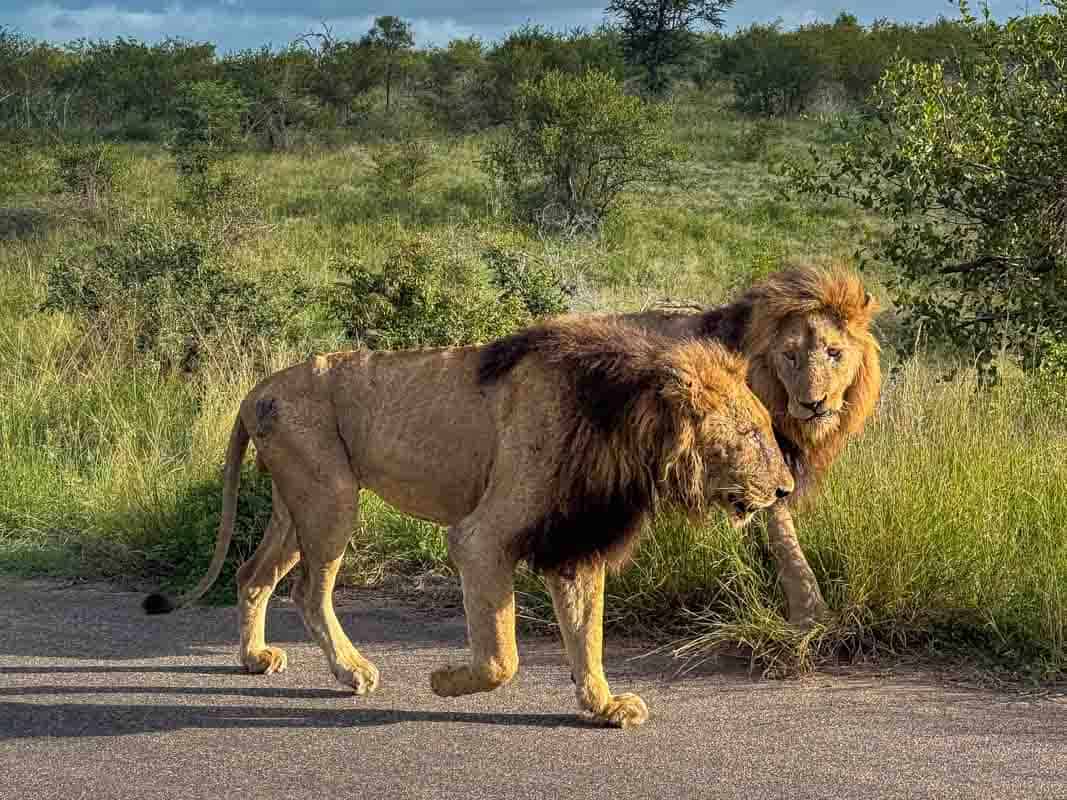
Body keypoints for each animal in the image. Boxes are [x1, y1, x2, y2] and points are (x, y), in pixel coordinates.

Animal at [141, 315, 793, 729]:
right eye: (753, 434)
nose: (786, 488)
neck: (625, 425)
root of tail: (255, 390)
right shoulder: (483, 538)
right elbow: (503, 655)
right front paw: (444, 681)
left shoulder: (575, 540)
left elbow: (587, 637)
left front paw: (605, 707)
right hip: (331, 497)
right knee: (306, 589)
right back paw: (351, 670)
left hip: (294, 502)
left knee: (254, 574)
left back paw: (255, 658)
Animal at [623, 266, 879, 631]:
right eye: (789, 356)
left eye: (834, 352)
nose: (812, 404)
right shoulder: (759, 468)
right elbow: (785, 540)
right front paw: (811, 615)